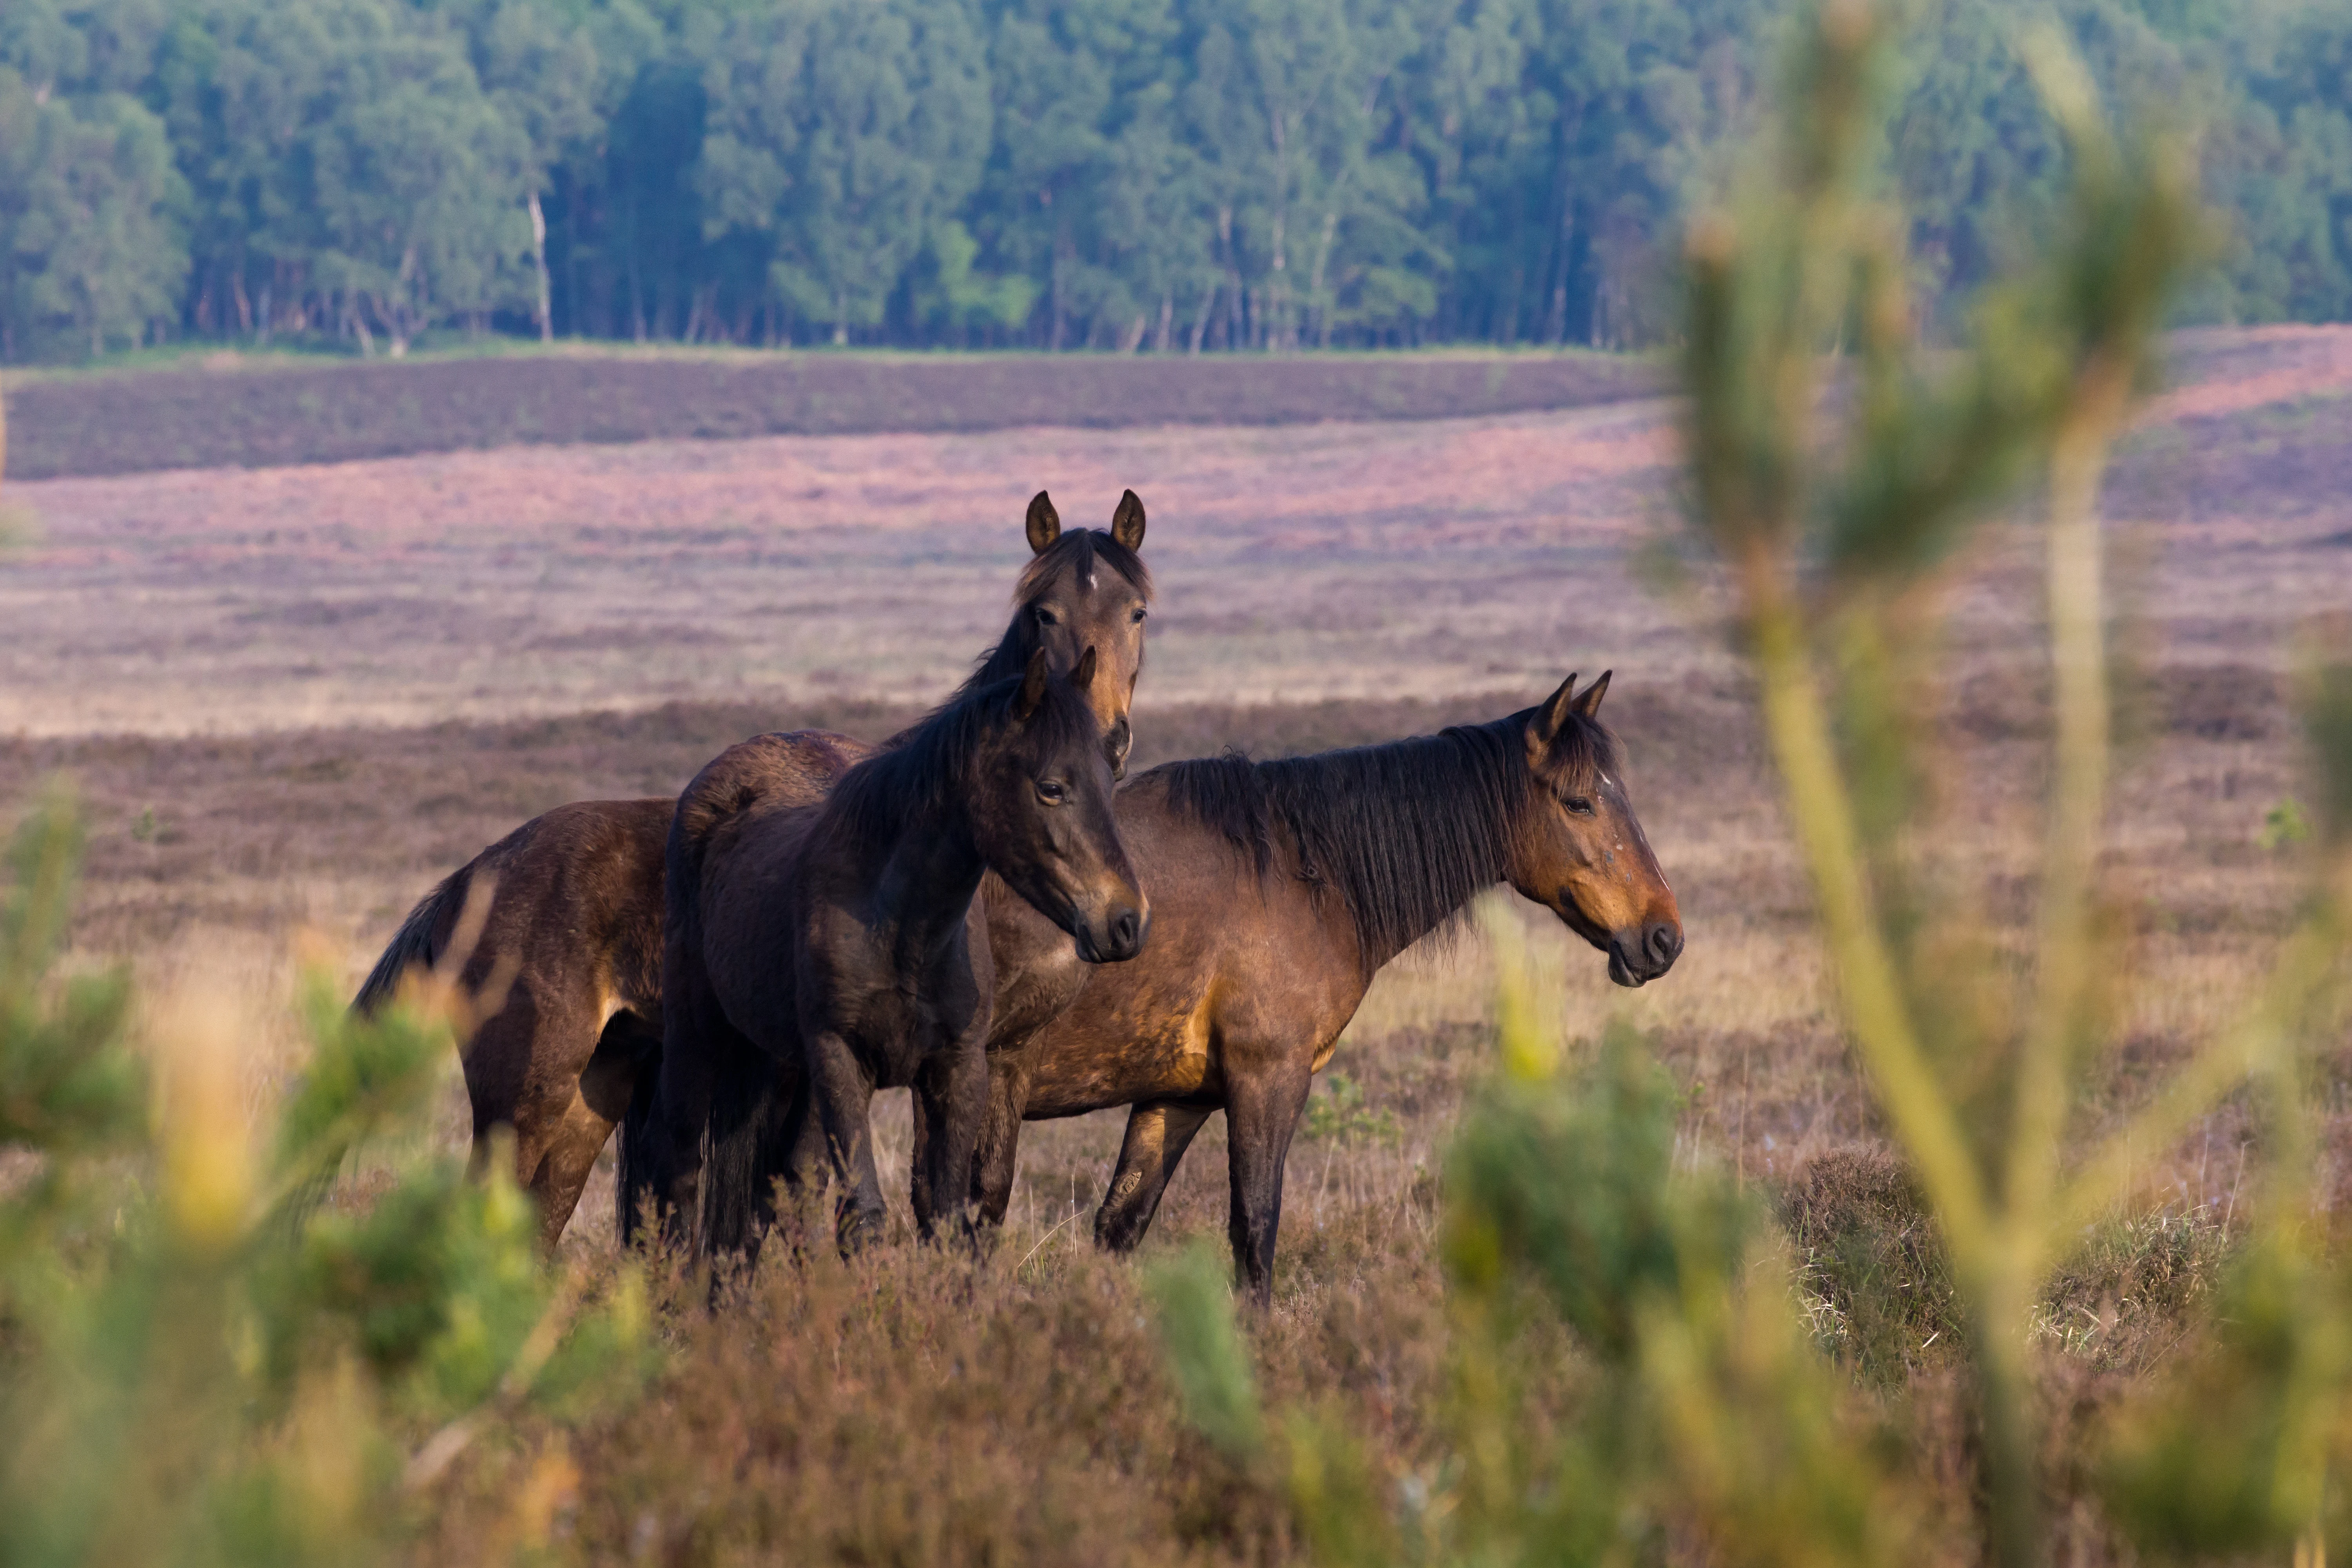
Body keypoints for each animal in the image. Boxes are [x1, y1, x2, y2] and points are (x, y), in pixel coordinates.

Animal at [652, 645, 1145, 1258]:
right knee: (681, 1174)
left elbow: (949, 1218)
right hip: (700, 1038)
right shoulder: (841, 1059)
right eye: (1051, 787)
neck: (906, 931)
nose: (1126, 922)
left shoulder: (958, 1069)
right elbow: (865, 1217)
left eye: (1108, 781)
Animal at [702, 671, 1681, 1302]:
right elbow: (1256, 1231)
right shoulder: (1267, 1081)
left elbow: (1121, 1226)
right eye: (1581, 801)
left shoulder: (1177, 1097)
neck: (1303, 871)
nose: (1662, 936)